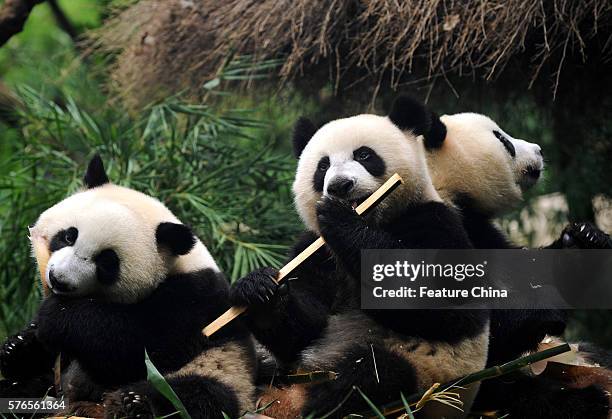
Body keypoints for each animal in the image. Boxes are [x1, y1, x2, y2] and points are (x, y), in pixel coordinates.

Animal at [0, 156, 256, 418]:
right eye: (69, 236)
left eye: (106, 262)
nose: (58, 279)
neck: (176, 264)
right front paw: (17, 345)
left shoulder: (193, 300)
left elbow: (138, 347)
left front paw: (56, 315)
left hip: (225, 369)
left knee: (196, 395)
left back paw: (133, 402)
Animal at [232, 97, 490, 416]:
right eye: (323, 166)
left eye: (365, 155)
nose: (339, 186)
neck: (374, 220)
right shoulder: (315, 251)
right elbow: (305, 328)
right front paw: (259, 290)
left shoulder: (434, 221)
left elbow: (448, 308)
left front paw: (341, 220)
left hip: (428, 374)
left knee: (371, 377)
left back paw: (301, 402)